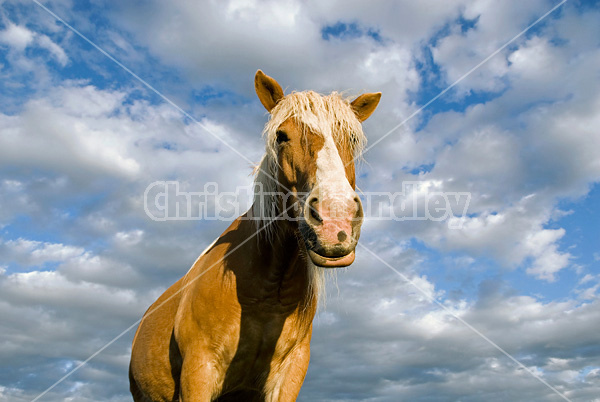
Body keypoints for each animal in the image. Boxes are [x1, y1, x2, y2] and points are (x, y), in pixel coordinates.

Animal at [129, 70, 382, 400]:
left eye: (351, 138)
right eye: (281, 136)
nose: (335, 221)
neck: (267, 291)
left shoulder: (290, 374)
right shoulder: (199, 371)